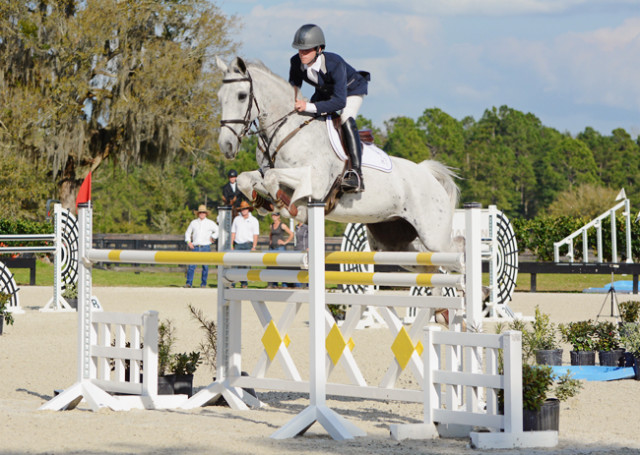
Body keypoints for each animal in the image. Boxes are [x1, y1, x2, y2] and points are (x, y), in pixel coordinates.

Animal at [215, 57, 460, 264]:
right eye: (220, 97)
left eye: (241, 96)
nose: (226, 146)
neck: (287, 130)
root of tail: (427, 174)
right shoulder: (266, 171)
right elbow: (247, 179)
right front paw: (262, 203)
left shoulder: (315, 181)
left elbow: (274, 181)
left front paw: (288, 207)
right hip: (394, 242)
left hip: (434, 238)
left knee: (455, 257)